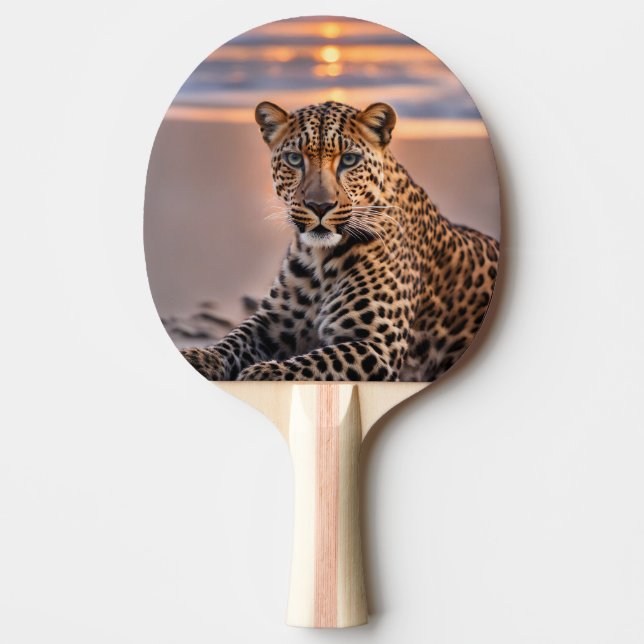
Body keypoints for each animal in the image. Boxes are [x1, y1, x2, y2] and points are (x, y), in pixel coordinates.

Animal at [180, 100, 499, 382]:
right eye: (294, 159)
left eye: (349, 160)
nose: (319, 206)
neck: (320, 258)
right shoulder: (271, 322)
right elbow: (232, 340)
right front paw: (198, 357)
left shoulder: (377, 346)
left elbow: (314, 363)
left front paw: (263, 373)